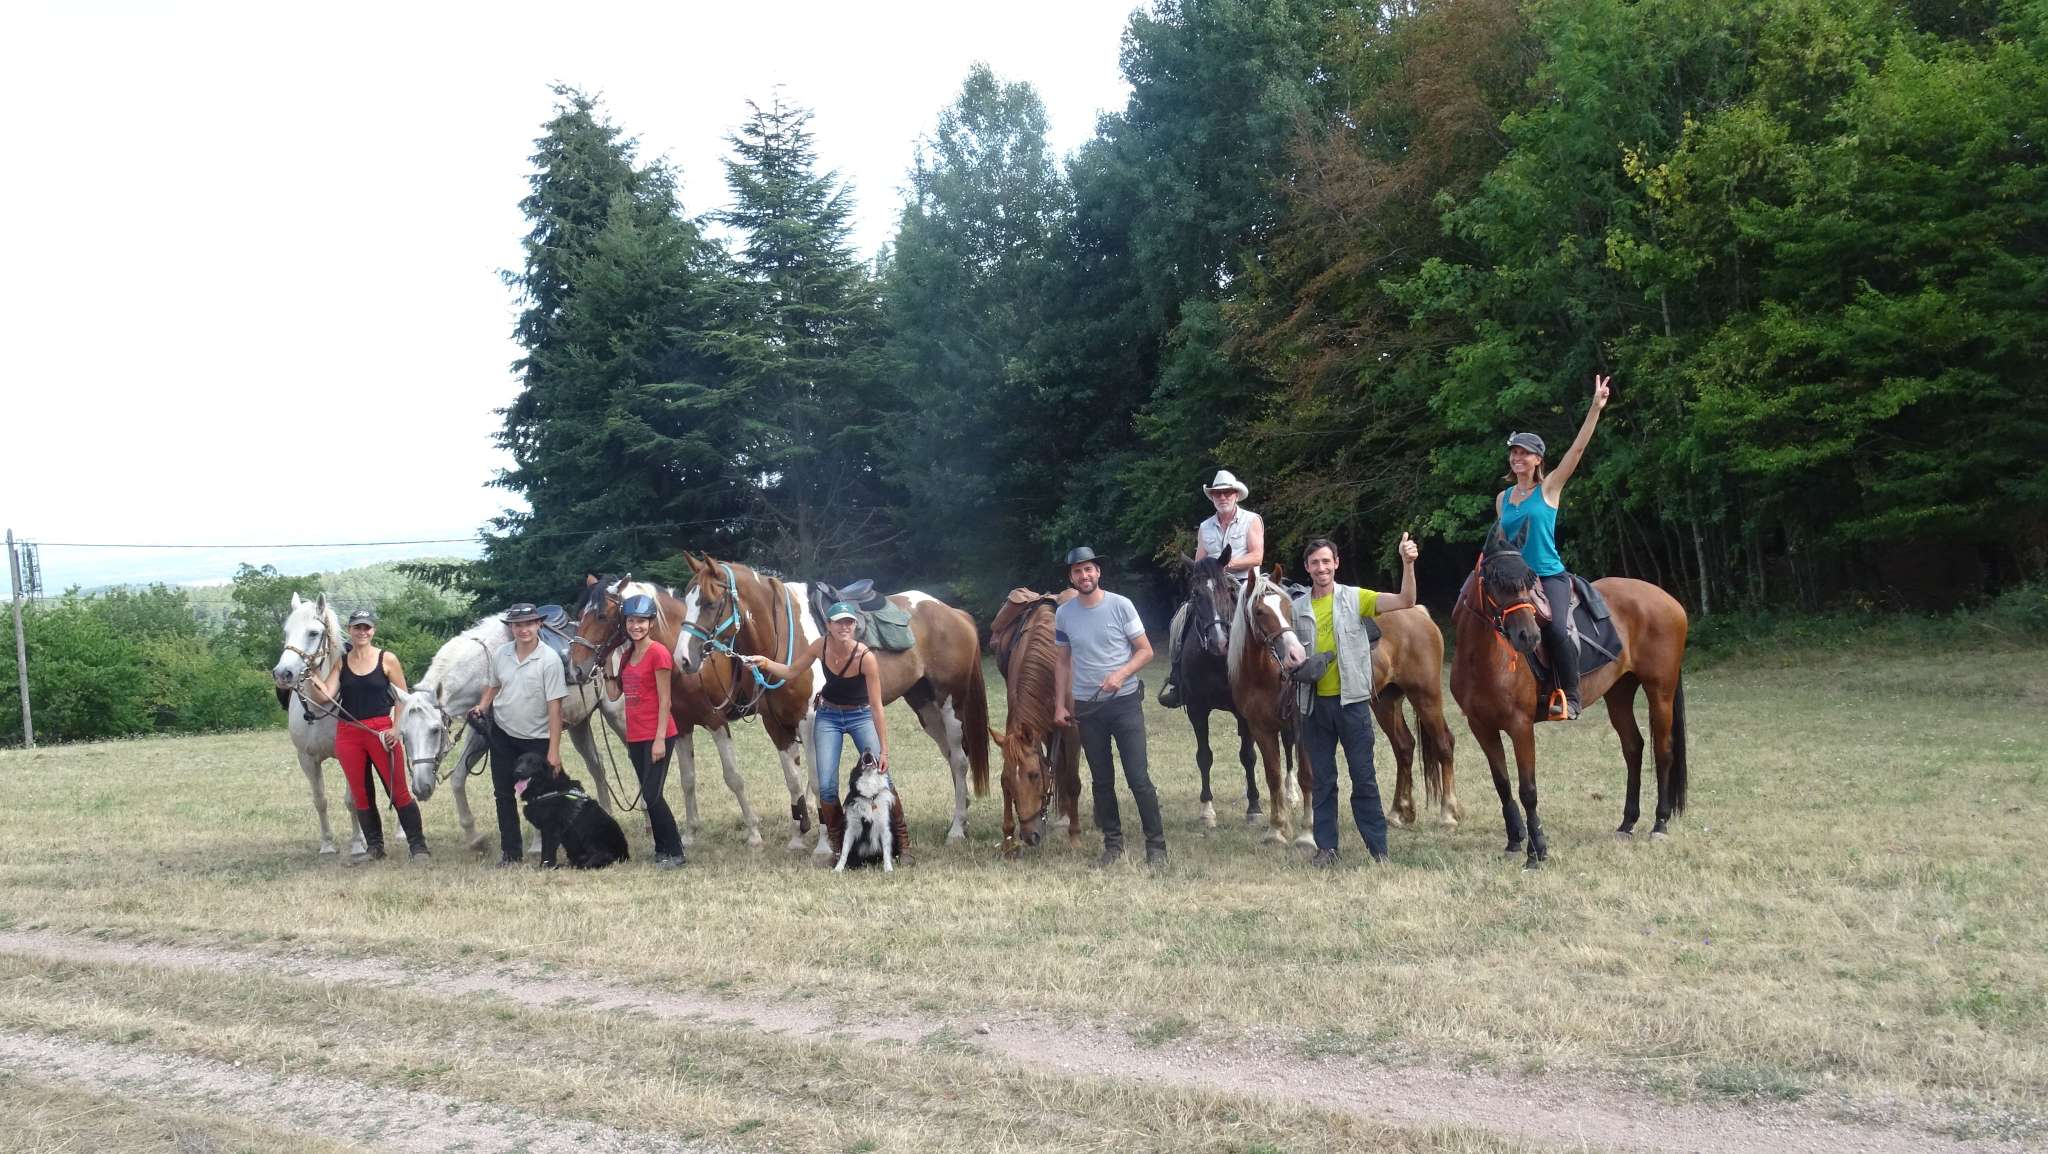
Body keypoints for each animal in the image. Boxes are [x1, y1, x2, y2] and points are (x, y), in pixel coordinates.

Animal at [388, 612, 628, 856]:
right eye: (404, 735)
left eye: (435, 729)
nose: (421, 787)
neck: (485, 667)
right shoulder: (481, 733)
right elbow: (458, 778)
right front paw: (474, 838)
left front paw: (537, 845)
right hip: (579, 725)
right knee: (597, 765)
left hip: (617, 718)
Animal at [567, 574, 760, 848]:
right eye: (581, 615)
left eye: (602, 616)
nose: (575, 669)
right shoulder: (682, 726)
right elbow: (687, 779)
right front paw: (690, 832)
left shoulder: (716, 722)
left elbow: (733, 777)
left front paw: (753, 832)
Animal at [674, 553, 991, 858]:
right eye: (685, 601)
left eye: (710, 603)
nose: (683, 659)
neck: (784, 635)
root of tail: (953, 613)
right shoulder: (776, 725)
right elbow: (793, 782)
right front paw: (796, 840)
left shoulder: (810, 722)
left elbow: (818, 782)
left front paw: (824, 845)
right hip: (926, 708)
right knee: (951, 757)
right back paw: (961, 818)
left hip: (950, 705)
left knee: (960, 761)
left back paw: (956, 830)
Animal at [987, 588, 1084, 856]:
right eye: (1010, 779)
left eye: (1034, 775)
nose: (1030, 837)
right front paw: (1008, 838)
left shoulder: (1071, 729)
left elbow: (1073, 781)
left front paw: (1075, 837)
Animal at [1450, 524, 1690, 866]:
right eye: (1495, 580)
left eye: (1528, 579)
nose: (1529, 636)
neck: (1482, 657)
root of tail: (1669, 600)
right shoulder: (1481, 726)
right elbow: (1503, 783)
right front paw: (1514, 841)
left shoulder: (1520, 726)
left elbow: (1528, 790)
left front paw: (1537, 851)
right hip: (1619, 693)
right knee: (1633, 747)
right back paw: (1627, 823)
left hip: (1661, 691)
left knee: (1663, 750)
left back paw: (1659, 823)